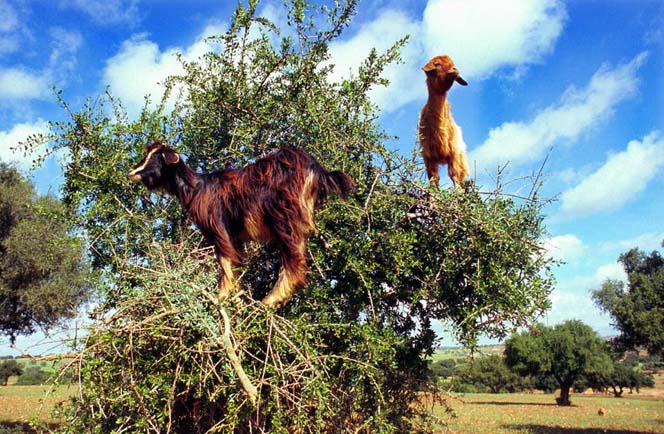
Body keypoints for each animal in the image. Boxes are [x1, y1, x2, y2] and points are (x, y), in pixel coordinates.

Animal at [126, 142, 352, 306]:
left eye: (158, 157)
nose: (132, 172)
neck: (196, 188)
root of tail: (316, 170)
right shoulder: (236, 237)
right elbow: (235, 265)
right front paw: (237, 297)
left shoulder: (219, 230)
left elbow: (225, 262)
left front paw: (222, 297)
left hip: (284, 216)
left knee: (294, 259)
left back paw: (270, 300)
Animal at [418, 53, 470, 186]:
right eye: (437, 64)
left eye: (452, 64)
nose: (455, 70)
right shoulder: (428, 156)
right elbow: (433, 178)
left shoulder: (453, 153)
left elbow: (454, 175)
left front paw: (457, 192)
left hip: (461, 157)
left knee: (461, 178)